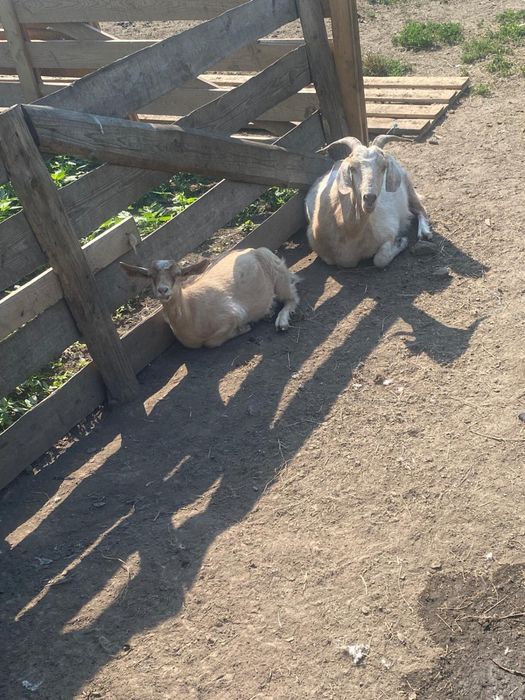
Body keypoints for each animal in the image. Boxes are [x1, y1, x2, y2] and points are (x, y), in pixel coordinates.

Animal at [121, 248, 299, 349]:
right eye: (150, 276)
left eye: (178, 274)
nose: (163, 290)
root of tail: (252, 249)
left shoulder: (232, 314)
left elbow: (211, 343)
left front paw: (244, 328)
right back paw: (269, 311)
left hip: (278, 272)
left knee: (292, 298)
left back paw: (281, 321)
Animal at [305, 134, 432, 268]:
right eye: (352, 168)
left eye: (384, 167)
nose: (369, 198)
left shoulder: (388, 231)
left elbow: (380, 260)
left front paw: (401, 242)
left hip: (408, 184)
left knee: (421, 209)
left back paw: (424, 232)